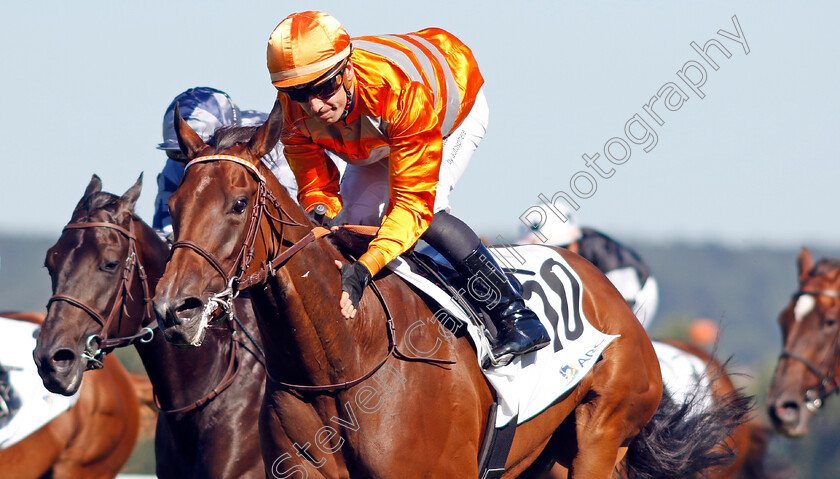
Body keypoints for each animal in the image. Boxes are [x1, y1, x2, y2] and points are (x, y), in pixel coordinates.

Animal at [154, 99, 744, 478]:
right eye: (175, 204)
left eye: (237, 203)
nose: (173, 309)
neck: (342, 360)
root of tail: (615, 302)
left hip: (599, 437)